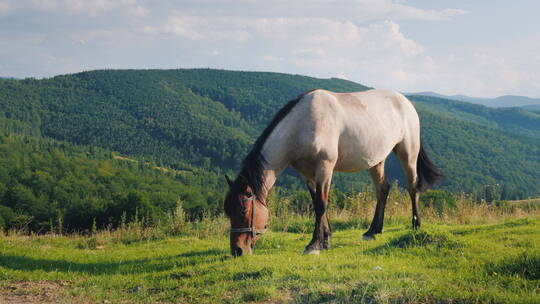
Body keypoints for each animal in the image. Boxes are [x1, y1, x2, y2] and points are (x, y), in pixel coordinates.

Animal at [223, 88, 442, 256]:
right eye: (228, 211)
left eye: (243, 210)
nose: (237, 251)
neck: (303, 124)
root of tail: (406, 101)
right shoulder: (307, 174)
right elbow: (317, 204)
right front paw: (326, 240)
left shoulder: (325, 167)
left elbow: (321, 204)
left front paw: (314, 245)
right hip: (376, 160)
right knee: (383, 189)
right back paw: (373, 231)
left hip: (408, 152)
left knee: (412, 187)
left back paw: (416, 224)